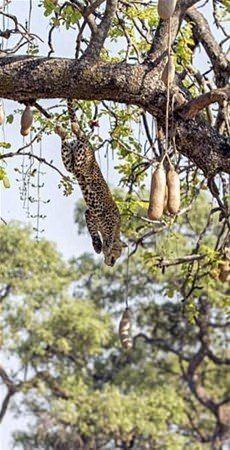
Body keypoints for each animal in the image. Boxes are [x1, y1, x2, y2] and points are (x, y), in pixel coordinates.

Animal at [55, 122, 123, 268]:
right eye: (119, 254)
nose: (112, 264)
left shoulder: (90, 215)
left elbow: (92, 231)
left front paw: (98, 246)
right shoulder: (110, 219)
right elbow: (109, 236)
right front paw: (106, 247)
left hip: (70, 161)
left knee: (67, 140)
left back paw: (61, 129)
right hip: (82, 158)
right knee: (82, 138)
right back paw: (76, 128)